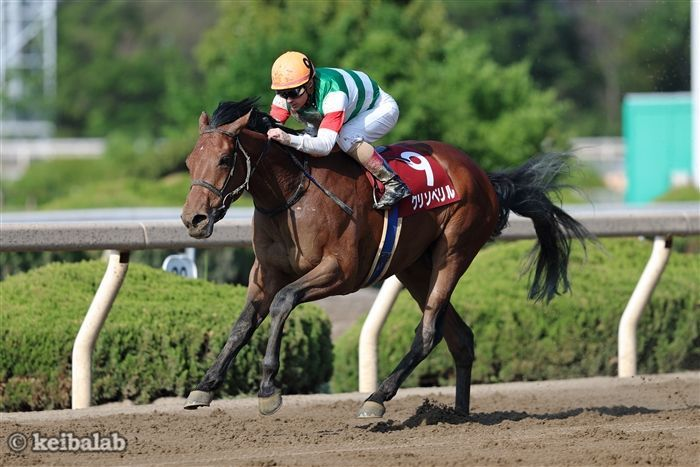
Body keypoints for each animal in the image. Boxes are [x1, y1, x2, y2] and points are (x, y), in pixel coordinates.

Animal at [180, 97, 591, 418]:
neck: (291, 195)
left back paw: (377, 398)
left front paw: (268, 388)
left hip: (454, 251)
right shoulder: (266, 273)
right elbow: (242, 324)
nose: (193, 219)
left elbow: (283, 302)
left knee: (428, 332)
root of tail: (485, 178)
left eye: (225, 158)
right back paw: (458, 413)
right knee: (460, 336)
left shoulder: (341, 272)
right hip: (413, 266)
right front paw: (205, 386)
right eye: (188, 162)